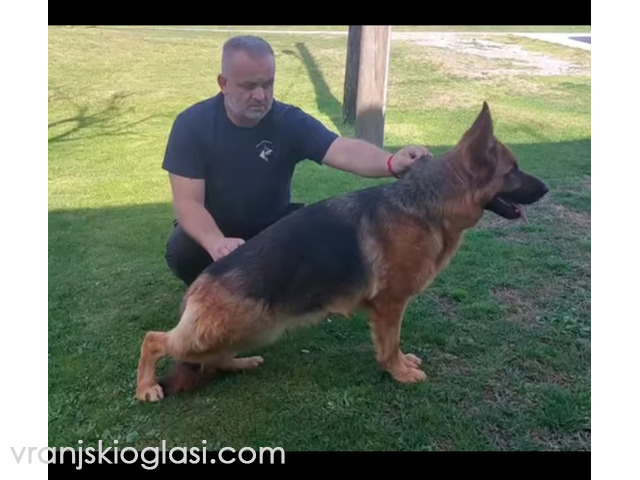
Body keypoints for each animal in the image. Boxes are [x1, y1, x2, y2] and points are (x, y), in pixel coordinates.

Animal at [135, 102, 548, 402]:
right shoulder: (390, 304)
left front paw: (400, 365)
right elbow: (390, 344)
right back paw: (146, 386)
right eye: (513, 169)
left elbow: (393, 344)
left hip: (253, 330)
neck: (427, 204)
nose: (546, 188)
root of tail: (199, 286)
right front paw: (398, 372)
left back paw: (242, 362)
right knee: (154, 340)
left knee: (214, 360)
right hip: (225, 328)